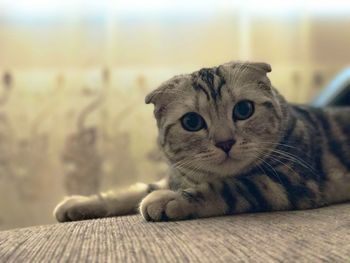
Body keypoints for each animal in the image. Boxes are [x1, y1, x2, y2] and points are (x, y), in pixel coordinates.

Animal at [52, 61, 350, 223]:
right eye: (192, 122)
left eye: (244, 110)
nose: (225, 142)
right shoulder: (174, 175)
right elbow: (131, 191)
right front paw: (78, 203)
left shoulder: (288, 182)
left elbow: (229, 187)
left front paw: (169, 200)